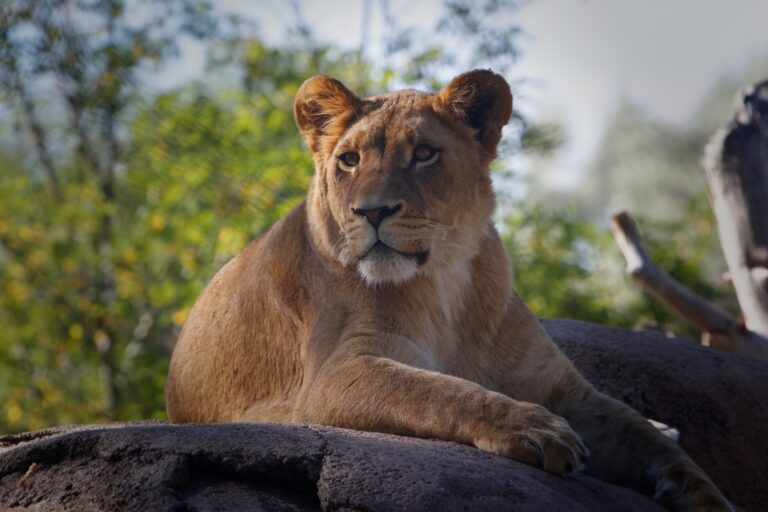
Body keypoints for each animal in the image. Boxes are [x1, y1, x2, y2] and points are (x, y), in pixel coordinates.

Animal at [166, 70, 732, 511]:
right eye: (349, 160)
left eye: (423, 154)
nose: (371, 212)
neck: (444, 283)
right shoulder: (333, 375)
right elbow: (438, 390)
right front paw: (536, 429)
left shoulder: (560, 385)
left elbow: (641, 434)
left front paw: (704, 493)